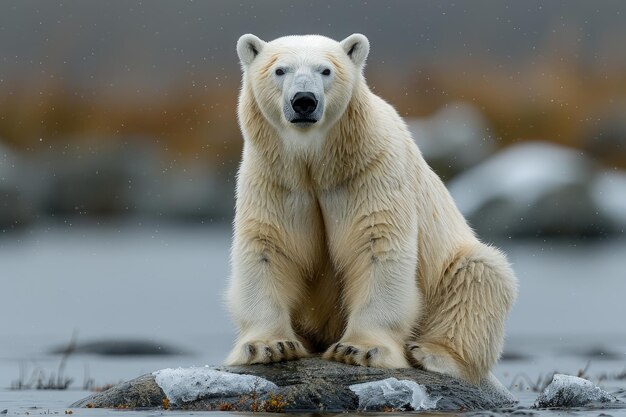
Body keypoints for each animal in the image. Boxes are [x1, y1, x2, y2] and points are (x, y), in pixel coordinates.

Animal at [224, 34, 516, 382]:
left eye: (325, 70)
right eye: (280, 70)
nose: (304, 101)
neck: (316, 163)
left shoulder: (371, 171)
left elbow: (377, 246)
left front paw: (359, 350)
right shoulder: (274, 179)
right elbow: (268, 246)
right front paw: (269, 346)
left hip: (453, 268)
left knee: (479, 275)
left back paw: (431, 354)